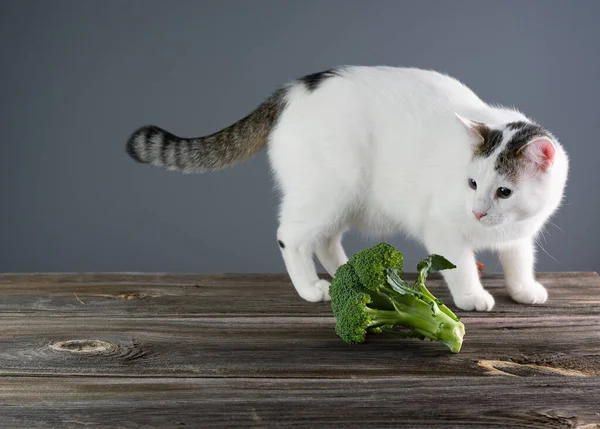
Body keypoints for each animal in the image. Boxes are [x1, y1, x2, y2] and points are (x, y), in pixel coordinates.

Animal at [125, 65, 568, 310]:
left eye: (504, 192)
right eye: (472, 183)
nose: (477, 210)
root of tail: (292, 89)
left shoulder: (520, 234)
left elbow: (519, 259)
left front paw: (524, 289)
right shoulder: (442, 229)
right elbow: (459, 266)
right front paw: (472, 296)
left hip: (344, 199)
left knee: (325, 240)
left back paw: (351, 275)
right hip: (329, 190)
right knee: (291, 237)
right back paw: (311, 288)